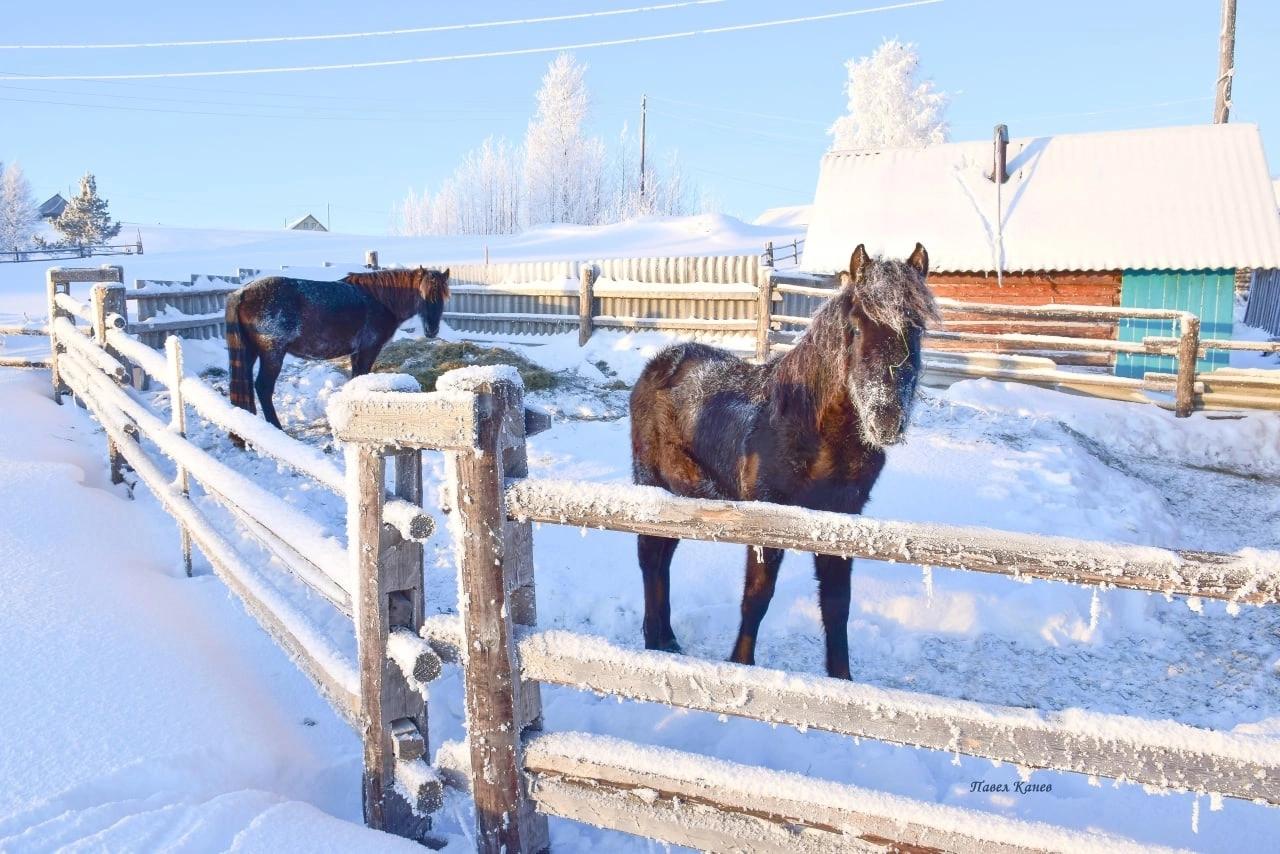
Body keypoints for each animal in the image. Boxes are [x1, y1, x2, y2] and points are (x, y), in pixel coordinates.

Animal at [225, 267, 450, 427]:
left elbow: (355, 378)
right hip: (272, 355)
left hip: (250, 353)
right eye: (423, 295)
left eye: (444, 297)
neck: (380, 300)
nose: (432, 330)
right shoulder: (368, 350)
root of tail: (242, 293)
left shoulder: (356, 353)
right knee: (263, 387)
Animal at [632, 243, 942, 676]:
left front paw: (841, 679)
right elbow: (757, 597)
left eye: (917, 329)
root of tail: (659, 364)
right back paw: (654, 641)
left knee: (663, 559)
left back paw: (667, 638)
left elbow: (837, 606)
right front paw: (742, 665)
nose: (886, 418)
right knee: (650, 558)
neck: (812, 431)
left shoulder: (842, 519)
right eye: (855, 328)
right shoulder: (767, 520)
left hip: (683, 498)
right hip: (653, 487)